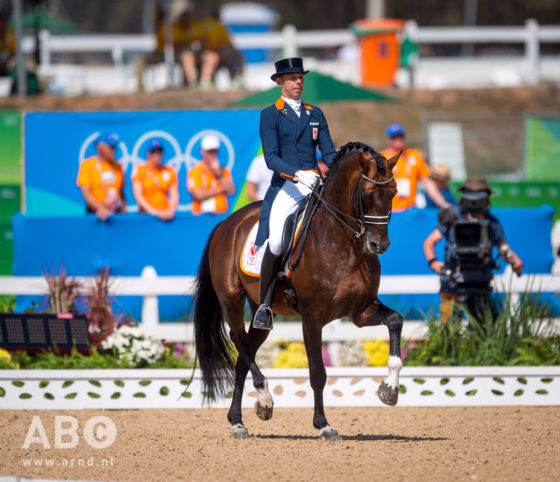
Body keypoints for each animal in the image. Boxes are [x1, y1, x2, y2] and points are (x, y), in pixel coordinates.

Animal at [192, 140, 402, 440]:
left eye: (394, 192)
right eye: (367, 193)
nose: (379, 245)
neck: (343, 243)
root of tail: (226, 223)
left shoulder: (360, 311)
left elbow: (396, 320)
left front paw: (390, 389)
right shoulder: (312, 318)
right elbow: (317, 372)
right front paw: (323, 424)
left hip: (262, 310)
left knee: (245, 354)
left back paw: (239, 420)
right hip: (231, 300)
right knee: (239, 341)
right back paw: (265, 399)